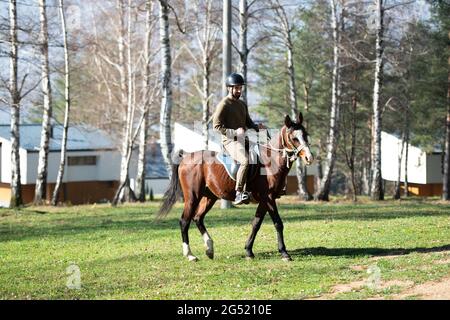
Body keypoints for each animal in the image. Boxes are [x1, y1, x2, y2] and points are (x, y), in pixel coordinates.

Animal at [158, 114, 312, 262]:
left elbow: (256, 223)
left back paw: (209, 249)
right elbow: (278, 223)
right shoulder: (268, 198)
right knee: (184, 221)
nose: (309, 158)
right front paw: (284, 253)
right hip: (192, 197)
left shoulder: (265, 200)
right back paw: (190, 255)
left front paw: (249, 251)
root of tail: (186, 157)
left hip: (209, 197)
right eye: (294, 138)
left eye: (305, 134)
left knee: (198, 218)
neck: (270, 162)